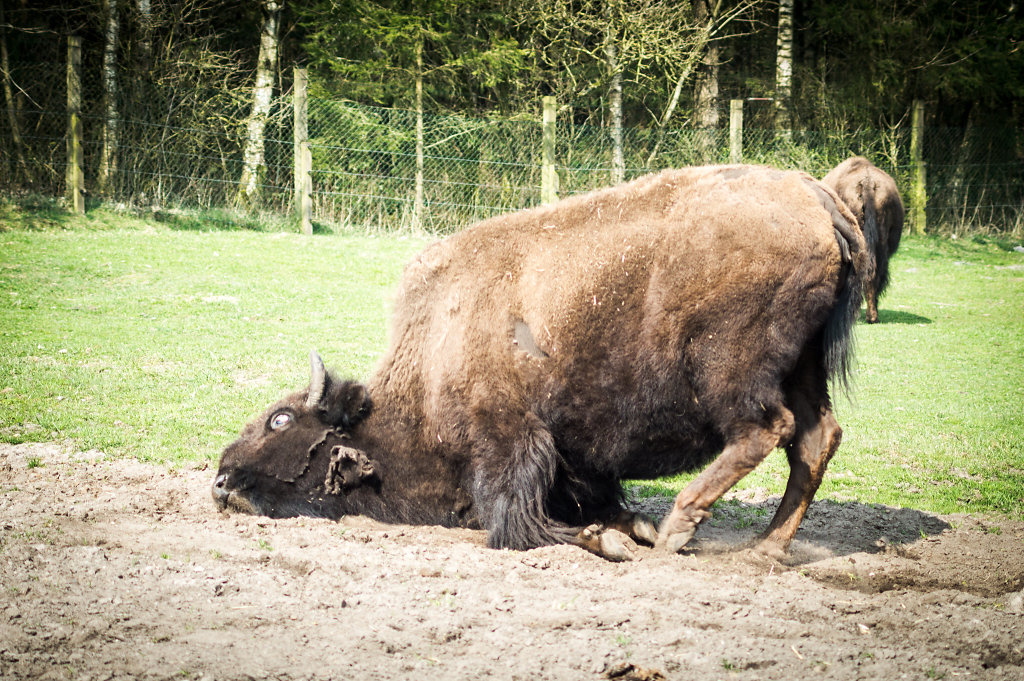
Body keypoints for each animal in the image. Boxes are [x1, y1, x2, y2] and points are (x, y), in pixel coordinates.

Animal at [211, 164, 868, 557]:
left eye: (280, 420)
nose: (220, 482)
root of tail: (818, 197)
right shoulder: (575, 466)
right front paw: (631, 529)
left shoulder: (511, 443)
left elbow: (518, 523)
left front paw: (619, 540)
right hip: (803, 366)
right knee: (816, 438)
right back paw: (766, 548)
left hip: (730, 368)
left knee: (766, 430)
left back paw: (681, 526)